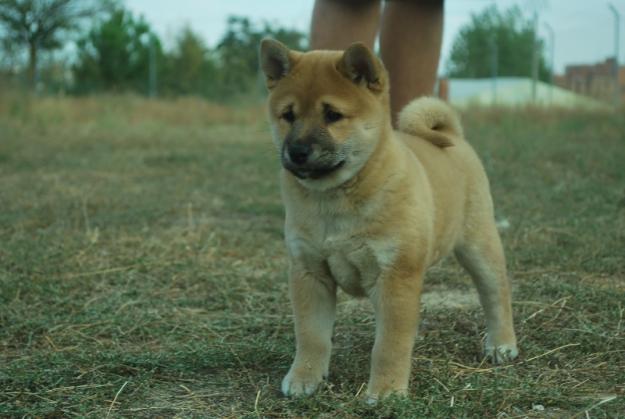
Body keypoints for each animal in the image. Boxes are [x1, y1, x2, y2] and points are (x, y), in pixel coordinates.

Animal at [258, 40, 516, 404]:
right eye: (288, 115)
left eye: (332, 115)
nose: (297, 151)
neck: (334, 200)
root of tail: (455, 138)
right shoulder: (309, 273)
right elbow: (312, 335)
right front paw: (304, 377)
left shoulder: (395, 275)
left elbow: (389, 345)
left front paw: (387, 391)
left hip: (479, 247)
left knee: (496, 294)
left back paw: (501, 344)